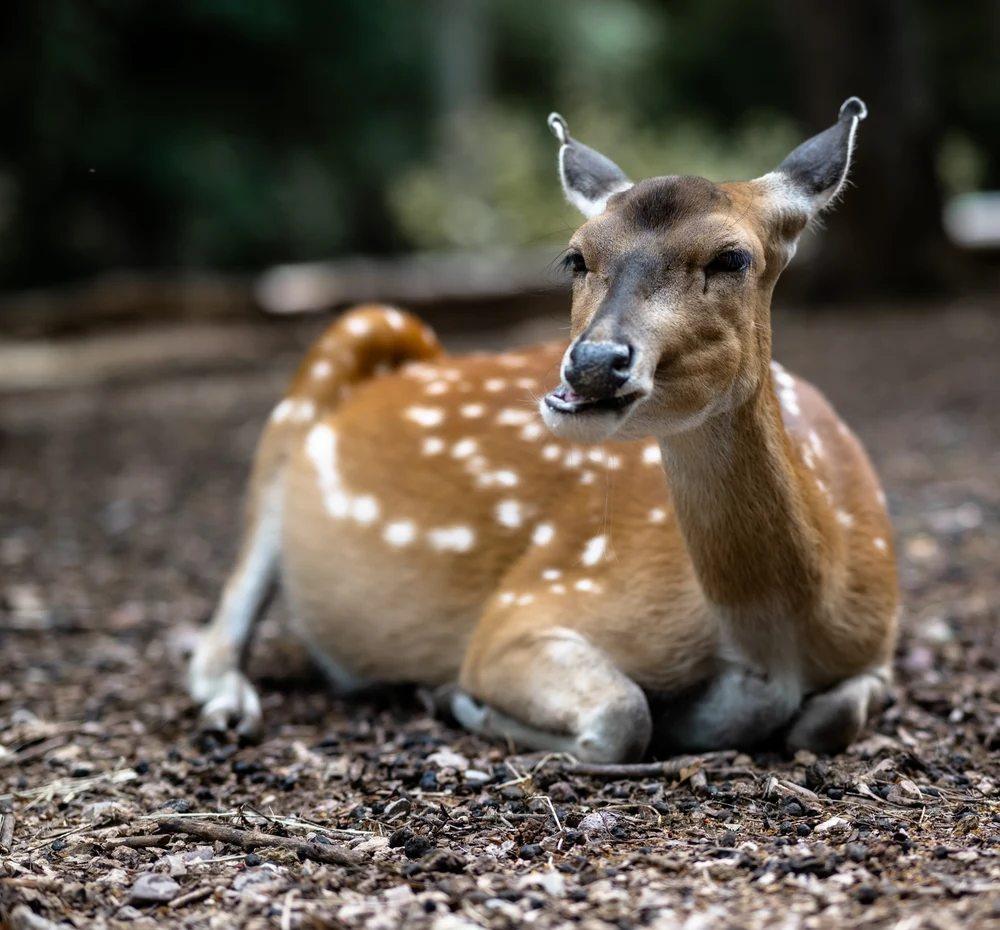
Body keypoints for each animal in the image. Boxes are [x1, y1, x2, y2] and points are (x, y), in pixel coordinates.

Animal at [188, 97, 898, 763]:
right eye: (574, 257)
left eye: (732, 258)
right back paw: (230, 704)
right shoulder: (528, 609)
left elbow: (834, 714)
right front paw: (457, 698)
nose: (593, 363)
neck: (778, 630)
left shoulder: (879, 645)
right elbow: (622, 714)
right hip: (326, 367)